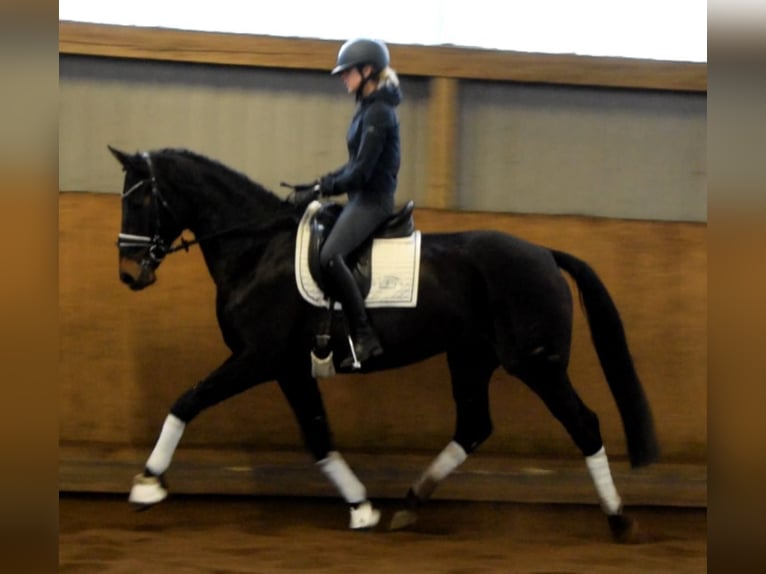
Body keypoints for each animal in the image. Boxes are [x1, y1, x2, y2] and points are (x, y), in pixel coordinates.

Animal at [109, 146, 660, 544]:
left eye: (139, 200)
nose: (128, 274)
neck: (257, 249)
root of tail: (544, 252)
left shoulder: (256, 358)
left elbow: (188, 401)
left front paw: (147, 483)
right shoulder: (289, 367)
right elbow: (318, 436)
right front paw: (362, 507)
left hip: (537, 365)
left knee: (584, 425)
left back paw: (618, 519)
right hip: (470, 358)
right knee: (474, 427)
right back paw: (411, 503)